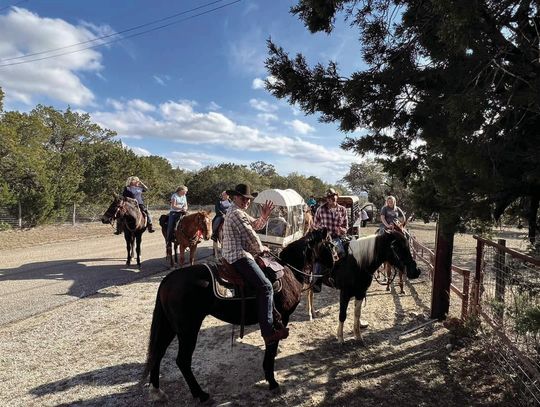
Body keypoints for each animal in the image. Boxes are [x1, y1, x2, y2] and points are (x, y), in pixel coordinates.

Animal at [142, 228, 338, 404]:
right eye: (330, 243)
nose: (335, 263)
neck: (289, 270)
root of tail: (168, 279)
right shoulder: (280, 319)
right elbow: (271, 347)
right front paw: (272, 382)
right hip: (188, 330)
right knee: (182, 360)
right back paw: (201, 394)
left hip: (170, 326)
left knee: (157, 353)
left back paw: (157, 391)